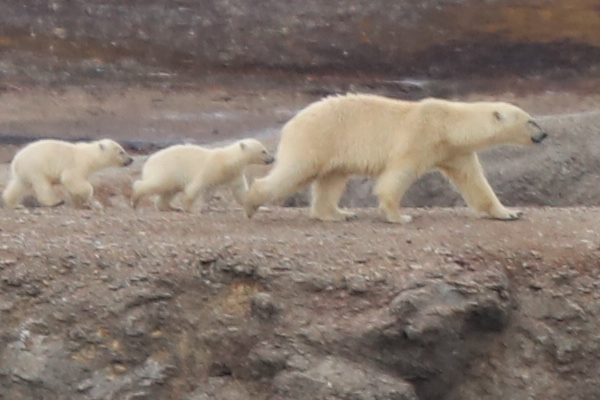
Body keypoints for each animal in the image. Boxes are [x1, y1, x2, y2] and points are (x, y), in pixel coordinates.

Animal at [2, 138, 133, 209]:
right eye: (121, 151)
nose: (131, 159)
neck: (90, 155)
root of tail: (16, 160)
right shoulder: (78, 164)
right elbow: (71, 179)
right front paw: (87, 196)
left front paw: (80, 202)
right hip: (36, 167)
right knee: (42, 185)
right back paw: (55, 202)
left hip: (25, 171)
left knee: (18, 185)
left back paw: (13, 203)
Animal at [131, 139, 274, 212]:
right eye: (263, 151)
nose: (272, 158)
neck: (227, 161)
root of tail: (148, 161)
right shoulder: (210, 168)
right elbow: (195, 186)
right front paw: (189, 208)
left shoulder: (234, 174)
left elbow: (240, 192)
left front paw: (260, 205)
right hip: (166, 170)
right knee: (157, 184)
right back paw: (135, 199)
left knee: (168, 192)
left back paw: (172, 207)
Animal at [243, 94, 548, 223]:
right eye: (531, 120)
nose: (544, 134)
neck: (448, 124)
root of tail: (292, 121)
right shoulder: (420, 137)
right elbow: (399, 174)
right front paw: (399, 216)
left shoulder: (454, 151)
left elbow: (474, 182)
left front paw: (509, 212)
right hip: (318, 138)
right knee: (295, 172)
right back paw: (251, 203)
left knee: (332, 179)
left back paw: (338, 214)